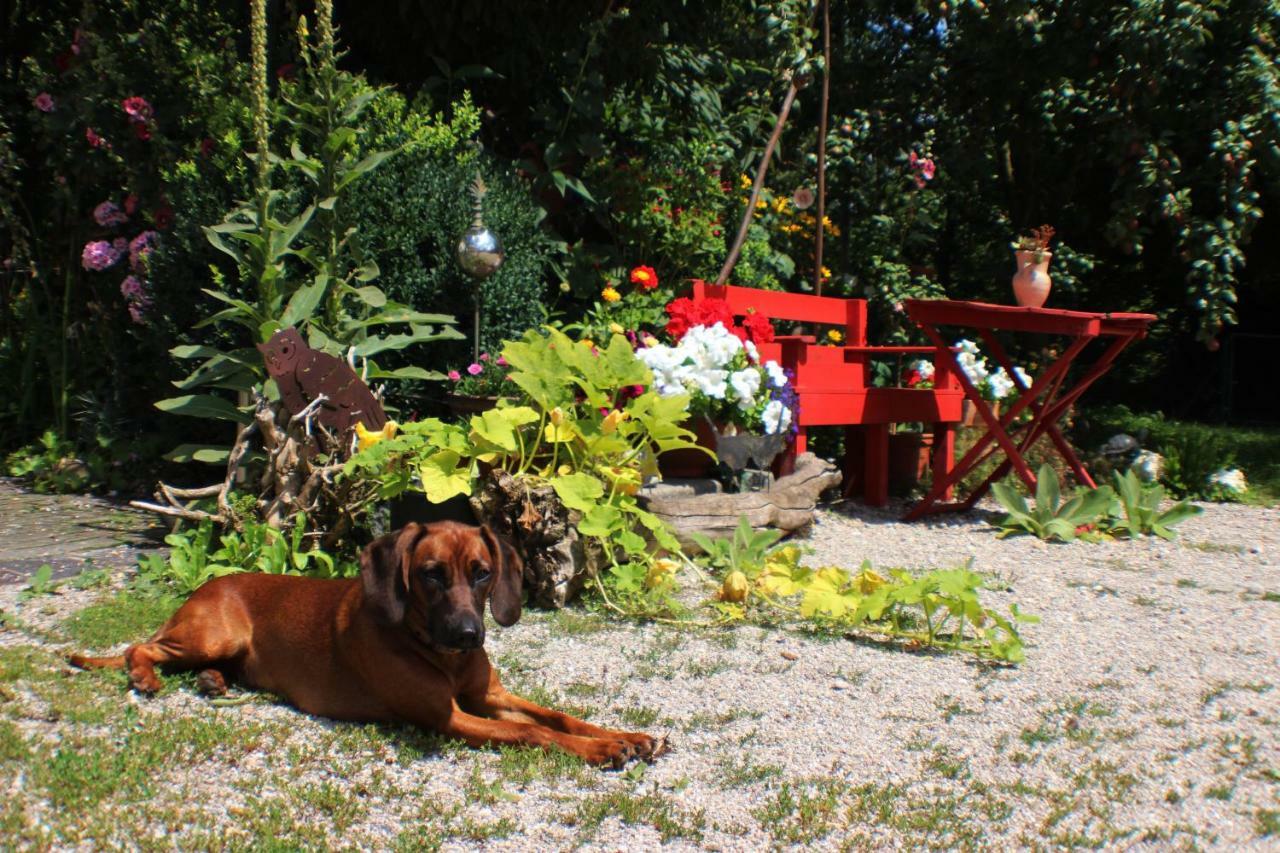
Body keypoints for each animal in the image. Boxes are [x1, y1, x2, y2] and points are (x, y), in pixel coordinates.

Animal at [70, 517, 660, 763]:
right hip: (211, 634)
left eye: (483, 573)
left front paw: (623, 736)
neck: (436, 651)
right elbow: (534, 733)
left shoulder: (488, 697)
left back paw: (214, 683)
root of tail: (208, 584)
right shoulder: (449, 717)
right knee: (140, 647)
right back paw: (145, 675)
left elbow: (559, 716)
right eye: (430, 574)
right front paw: (602, 751)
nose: (469, 635)